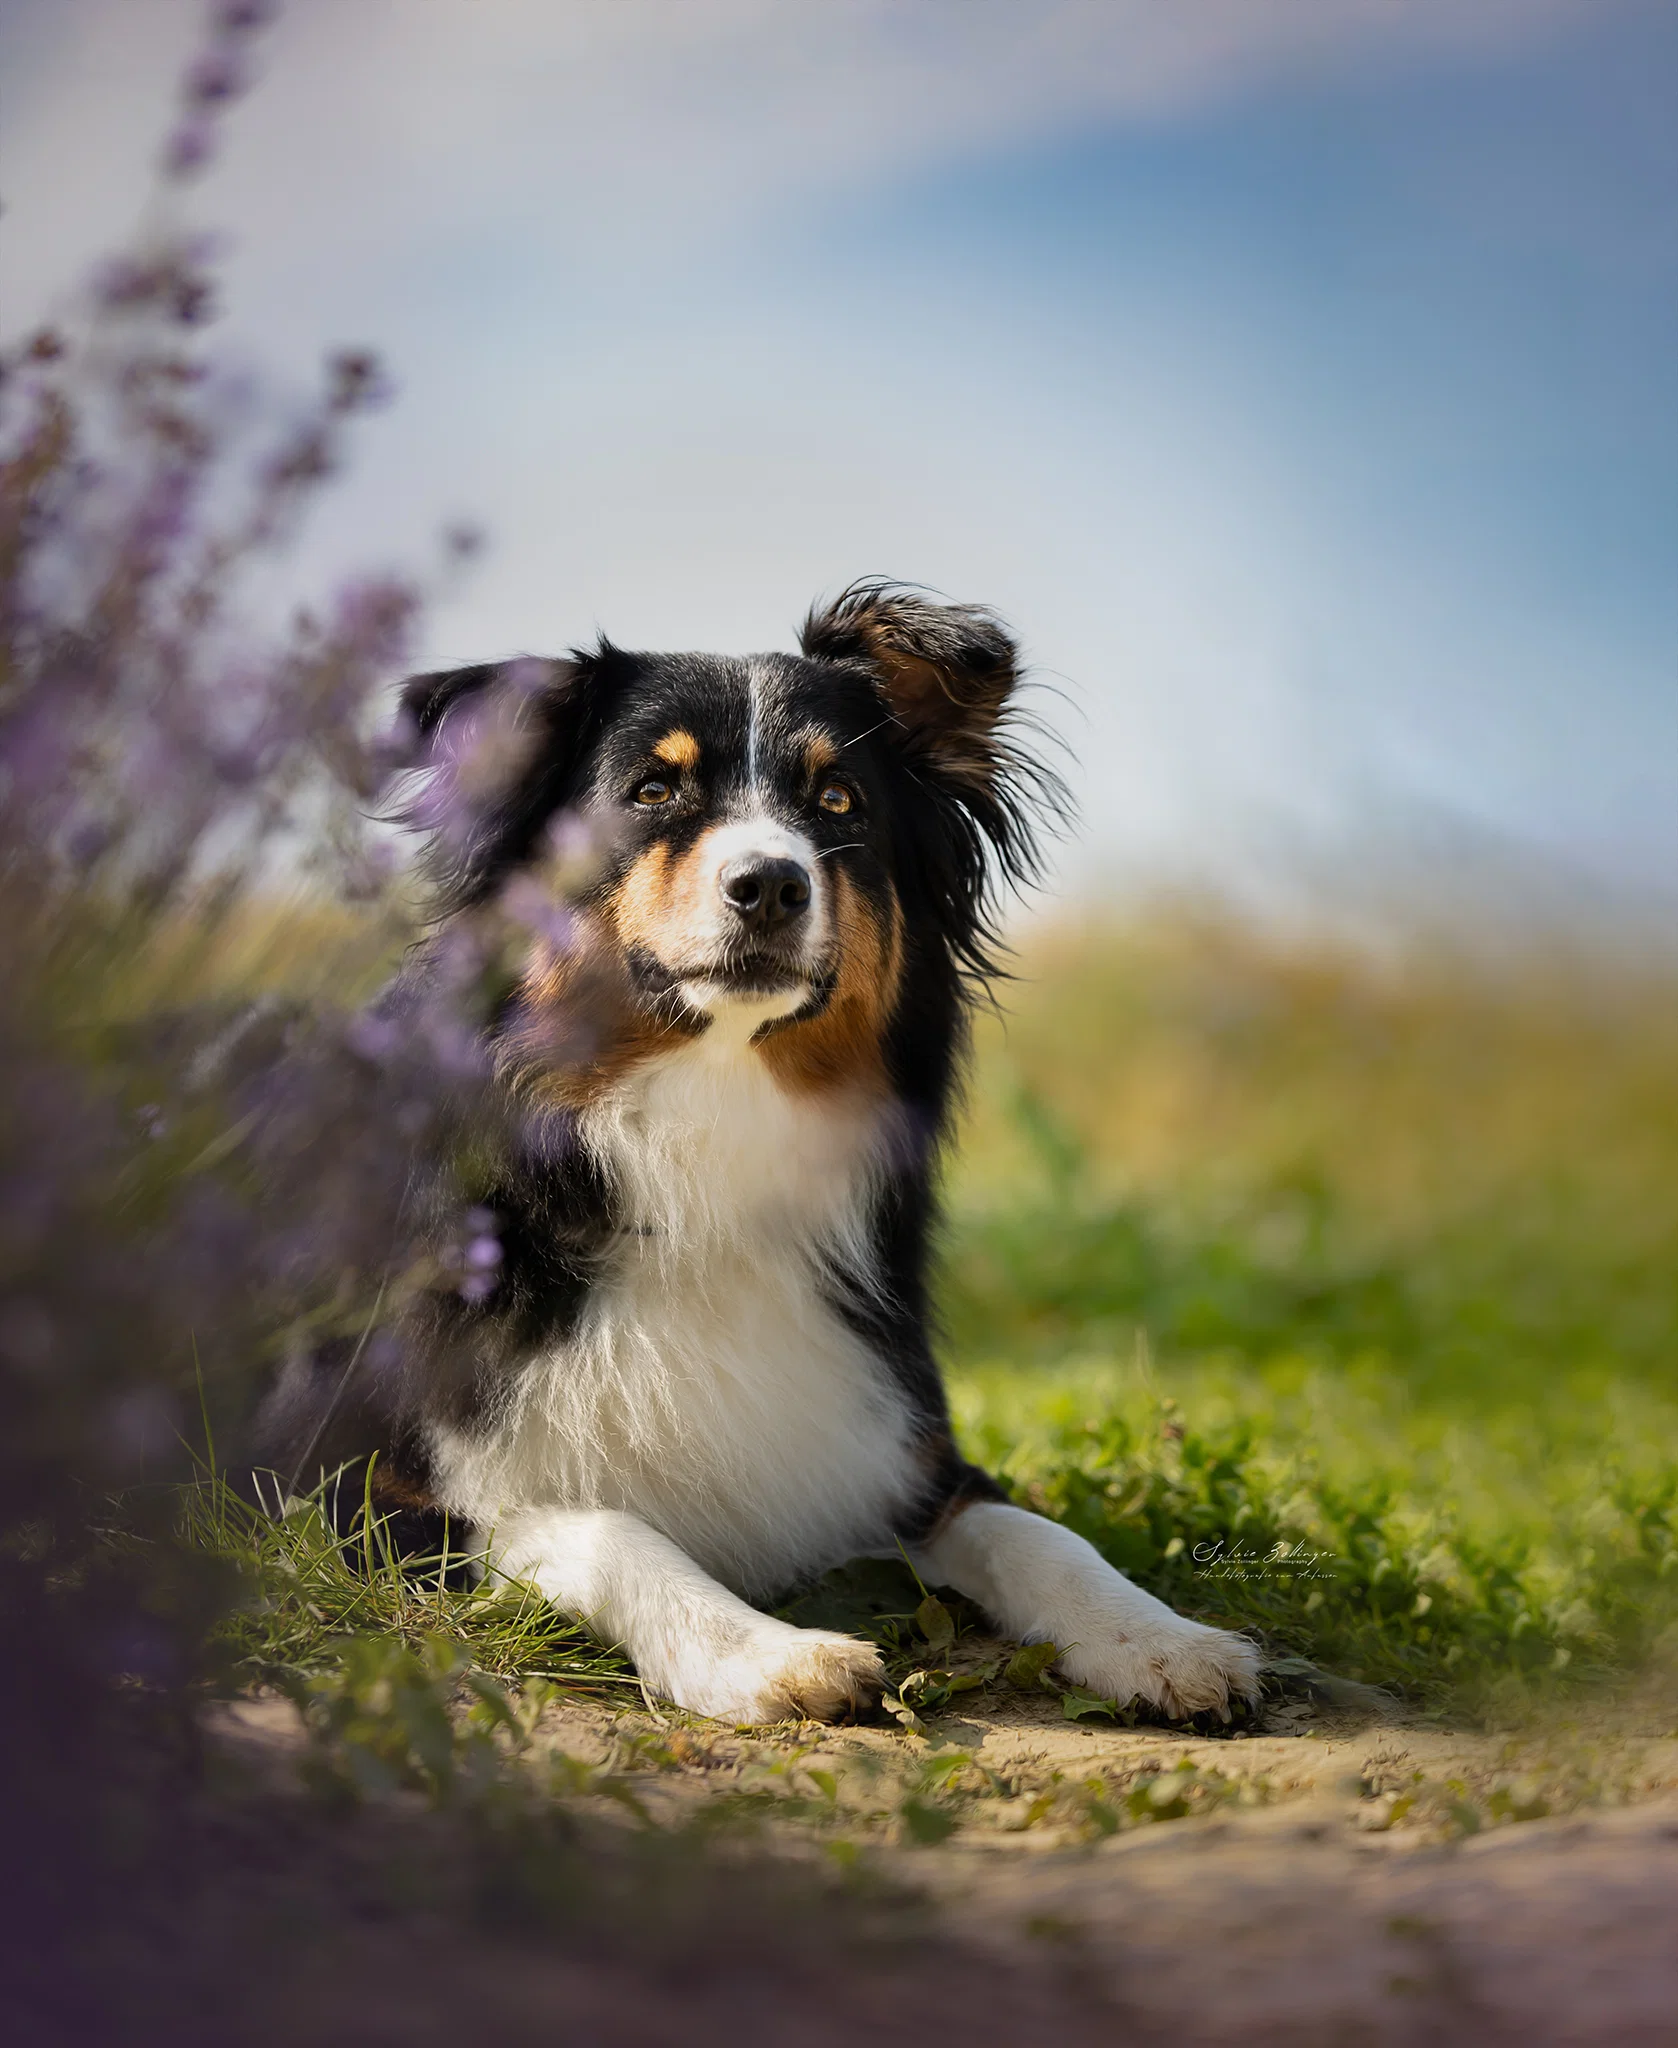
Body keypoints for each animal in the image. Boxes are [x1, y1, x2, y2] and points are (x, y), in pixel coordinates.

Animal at [262, 585, 1262, 1720]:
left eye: (837, 801)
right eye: (651, 791)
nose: (771, 884)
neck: (704, 1132)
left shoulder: (899, 1440)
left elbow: (1040, 1533)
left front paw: (1163, 1639)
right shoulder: (359, 1484)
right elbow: (605, 1526)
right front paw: (762, 1649)